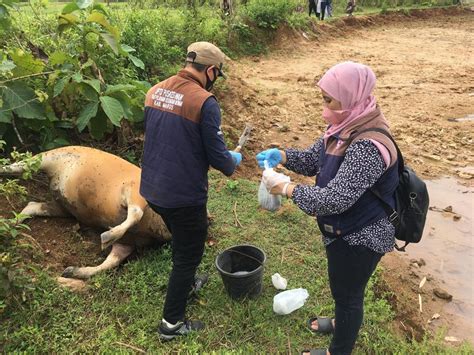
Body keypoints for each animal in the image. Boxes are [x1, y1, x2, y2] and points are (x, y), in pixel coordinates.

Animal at [0, 147, 171, 280]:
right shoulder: (134, 191)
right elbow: (136, 213)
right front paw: (106, 237)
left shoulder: (129, 242)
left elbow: (110, 263)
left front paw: (71, 272)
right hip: (50, 156)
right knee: (19, 166)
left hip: (63, 207)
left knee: (33, 206)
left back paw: (9, 224)